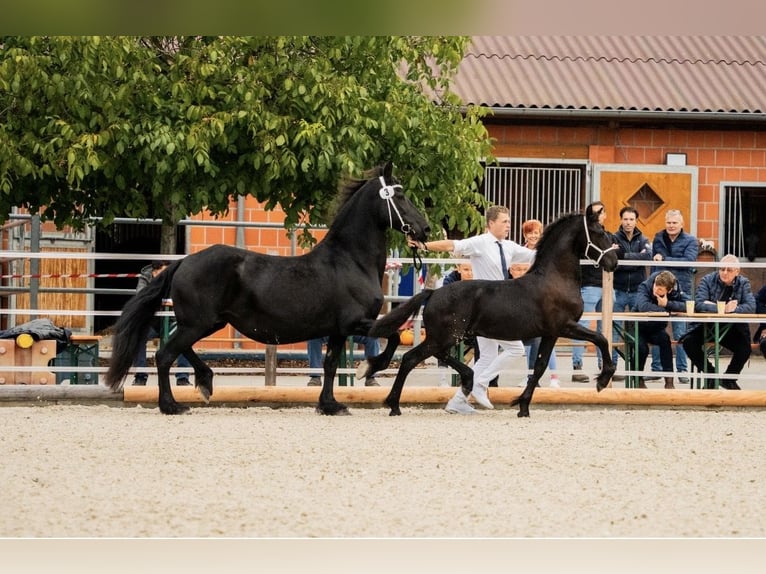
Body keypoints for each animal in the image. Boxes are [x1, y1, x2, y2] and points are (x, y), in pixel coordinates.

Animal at [104, 162, 430, 415]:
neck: (350, 260)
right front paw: (369, 368)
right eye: (400, 196)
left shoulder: (339, 330)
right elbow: (393, 336)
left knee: (180, 350)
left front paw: (330, 404)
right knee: (165, 355)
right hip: (198, 323)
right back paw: (172, 404)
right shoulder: (357, 323)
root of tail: (183, 262)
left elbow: (330, 365)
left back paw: (205, 382)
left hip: (205, 322)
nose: (424, 229)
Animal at [366, 209, 619, 417]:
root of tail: (433, 293)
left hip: (448, 337)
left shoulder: (550, 334)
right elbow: (601, 338)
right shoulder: (565, 326)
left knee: (439, 357)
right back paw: (394, 405)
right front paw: (603, 379)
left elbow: (539, 367)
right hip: (444, 337)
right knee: (411, 358)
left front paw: (523, 407)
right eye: (599, 232)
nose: (614, 262)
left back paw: (466, 383)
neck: (554, 279)